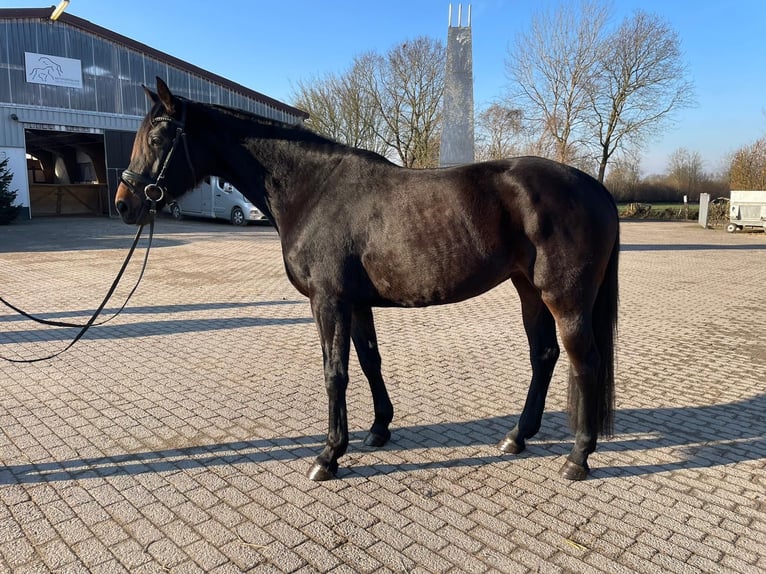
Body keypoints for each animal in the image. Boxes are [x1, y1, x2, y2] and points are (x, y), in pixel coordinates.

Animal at [117, 79, 620, 484]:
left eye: (158, 137)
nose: (125, 203)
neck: (313, 190)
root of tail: (594, 187)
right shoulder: (357, 303)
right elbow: (369, 362)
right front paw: (378, 429)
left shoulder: (328, 301)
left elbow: (334, 373)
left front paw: (328, 455)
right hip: (528, 289)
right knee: (544, 355)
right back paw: (517, 436)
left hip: (565, 298)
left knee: (586, 361)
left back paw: (577, 457)